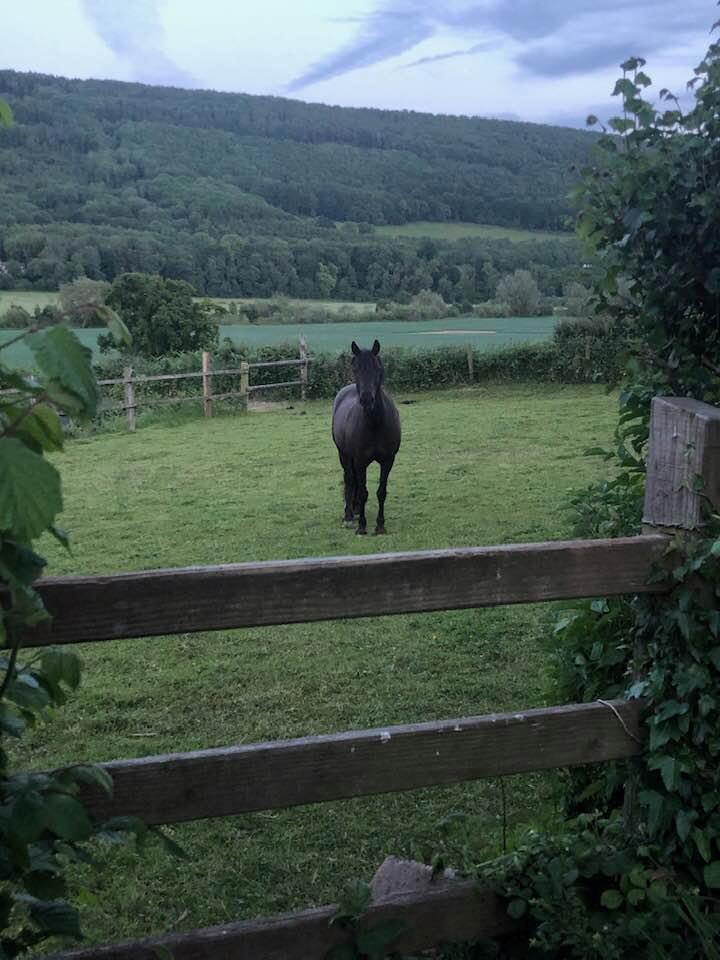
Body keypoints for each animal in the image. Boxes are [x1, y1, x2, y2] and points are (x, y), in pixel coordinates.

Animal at [330, 338, 400, 536]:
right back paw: (348, 516)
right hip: (344, 455)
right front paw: (362, 526)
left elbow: (381, 492)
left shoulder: (388, 461)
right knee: (349, 479)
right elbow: (362, 492)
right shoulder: (360, 461)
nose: (366, 399)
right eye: (355, 369)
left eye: (378, 368)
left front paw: (380, 525)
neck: (375, 424)